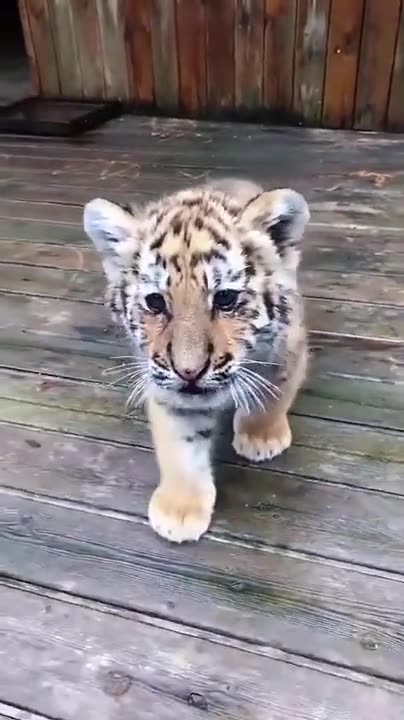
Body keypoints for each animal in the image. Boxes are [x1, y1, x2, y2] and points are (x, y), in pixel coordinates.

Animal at [83, 178, 310, 543]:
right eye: (155, 302)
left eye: (226, 298)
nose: (189, 371)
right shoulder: (168, 388)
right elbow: (181, 447)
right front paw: (180, 510)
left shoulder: (286, 348)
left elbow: (270, 396)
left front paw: (261, 438)